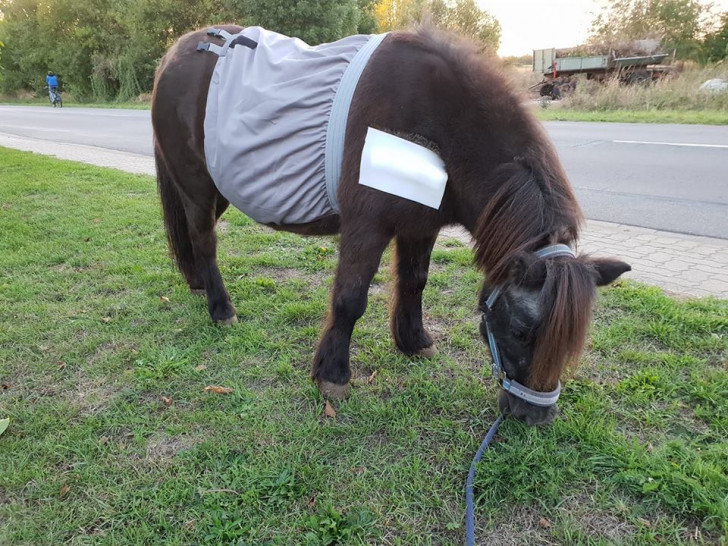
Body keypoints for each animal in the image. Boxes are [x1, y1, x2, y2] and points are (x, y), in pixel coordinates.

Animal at [151, 26, 628, 424]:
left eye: (574, 339)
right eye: (520, 330)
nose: (534, 417)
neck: (437, 119)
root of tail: (176, 51)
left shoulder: (422, 225)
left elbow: (415, 282)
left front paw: (414, 340)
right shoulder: (367, 227)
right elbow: (350, 299)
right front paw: (334, 376)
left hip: (219, 190)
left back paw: (198, 285)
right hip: (197, 186)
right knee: (205, 241)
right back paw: (221, 309)